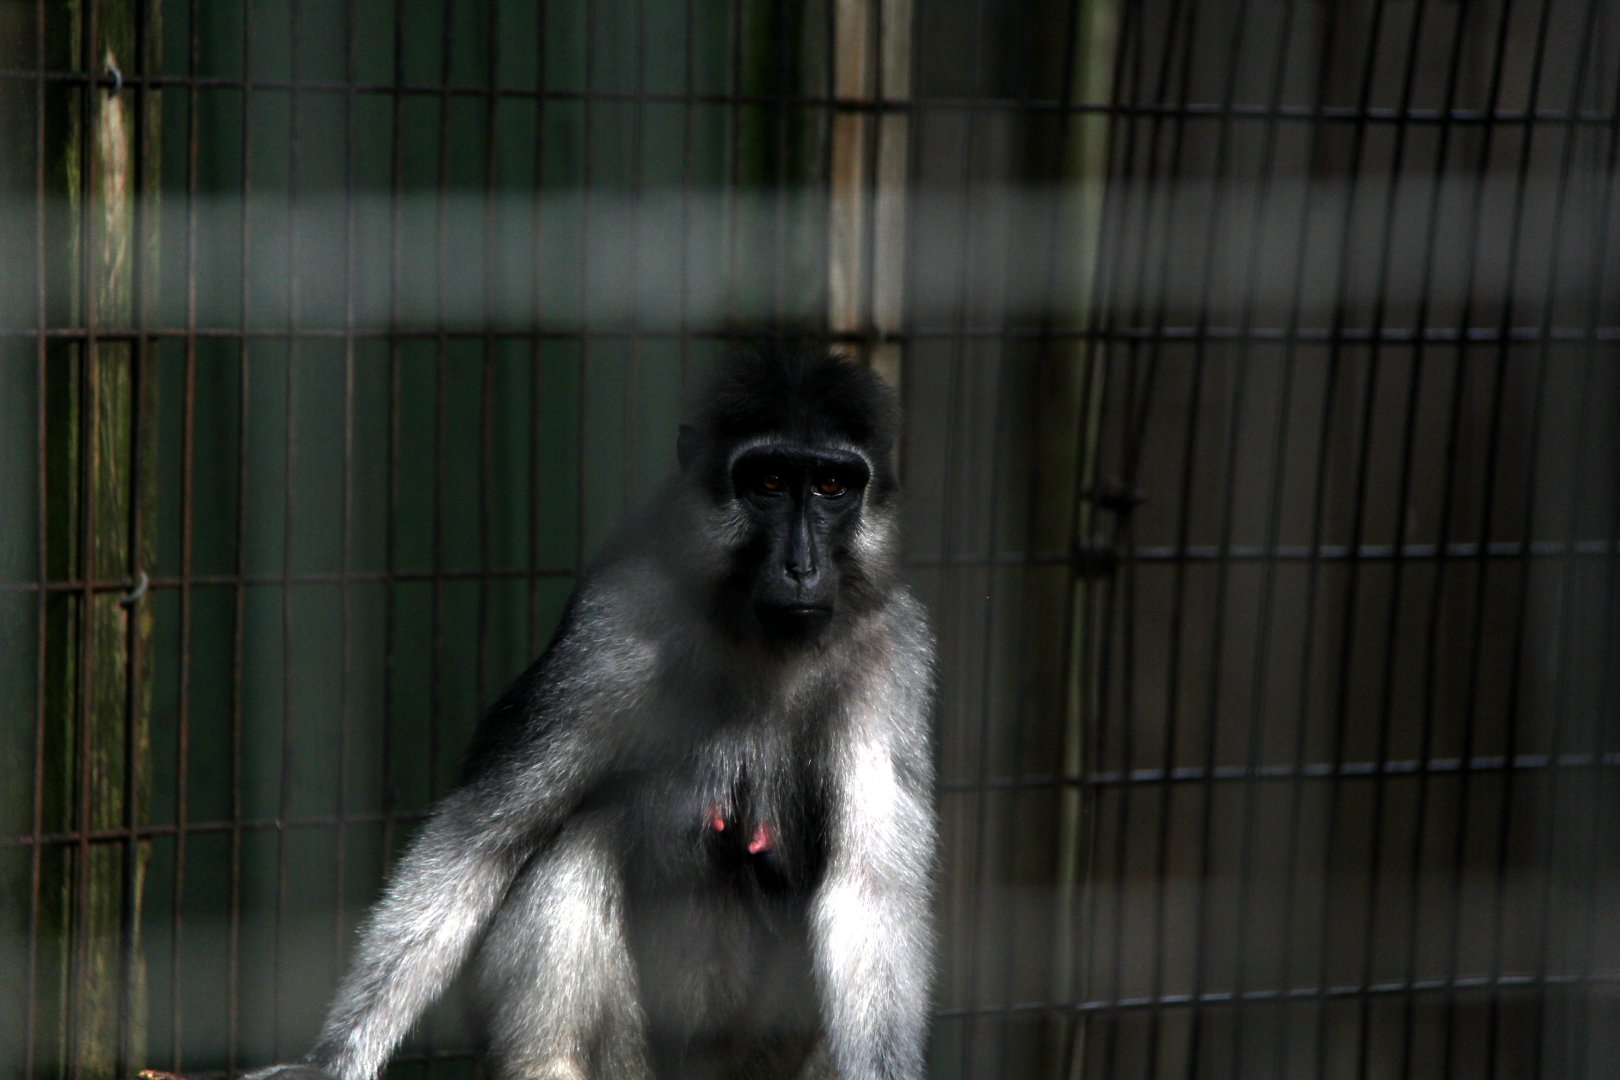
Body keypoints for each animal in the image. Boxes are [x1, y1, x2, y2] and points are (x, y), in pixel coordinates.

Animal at [251, 350, 937, 1080]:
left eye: (834, 485)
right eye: (771, 481)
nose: (801, 566)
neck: (761, 643)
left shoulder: (895, 656)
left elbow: (867, 899)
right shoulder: (618, 623)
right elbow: (479, 845)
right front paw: (331, 1058)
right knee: (580, 843)